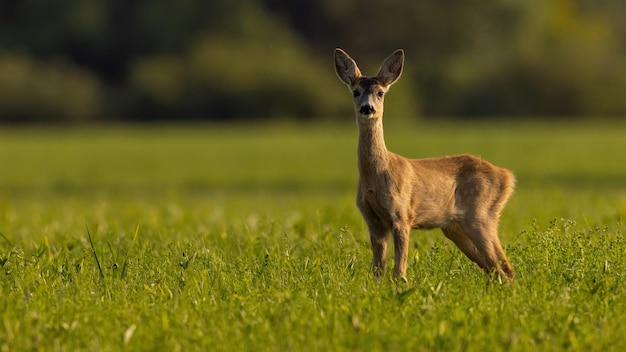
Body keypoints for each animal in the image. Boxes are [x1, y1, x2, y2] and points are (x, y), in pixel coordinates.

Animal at [332, 48, 512, 280]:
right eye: (355, 92)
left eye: (380, 93)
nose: (367, 108)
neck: (377, 175)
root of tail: (507, 176)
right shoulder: (373, 220)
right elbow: (377, 270)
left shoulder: (402, 215)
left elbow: (399, 269)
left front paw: (401, 283)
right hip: (454, 227)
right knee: (494, 269)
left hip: (481, 214)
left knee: (504, 267)